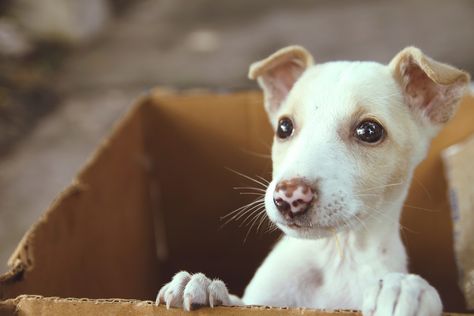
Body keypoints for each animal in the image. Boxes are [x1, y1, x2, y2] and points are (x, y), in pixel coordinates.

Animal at [156, 47, 470, 316]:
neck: (334, 256)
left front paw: (405, 288)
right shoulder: (259, 300)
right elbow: (238, 301)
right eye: (284, 127)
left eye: (369, 131)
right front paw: (203, 284)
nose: (289, 197)